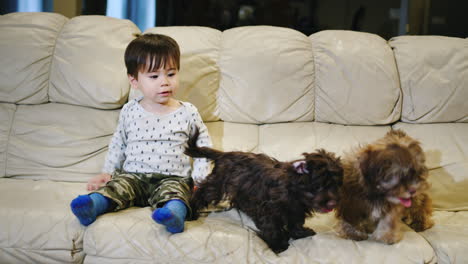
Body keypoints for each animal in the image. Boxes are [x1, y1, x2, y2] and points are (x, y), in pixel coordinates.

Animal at [185, 129, 342, 253]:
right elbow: (272, 227)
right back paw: (192, 212)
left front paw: (300, 233)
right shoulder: (269, 210)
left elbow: (296, 222)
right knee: (201, 193)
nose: (333, 203)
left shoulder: (296, 209)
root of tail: (224, 154)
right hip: (217, 184)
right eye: (318, 186)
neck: (294, 191)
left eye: (336, 185)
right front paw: (278, 245)